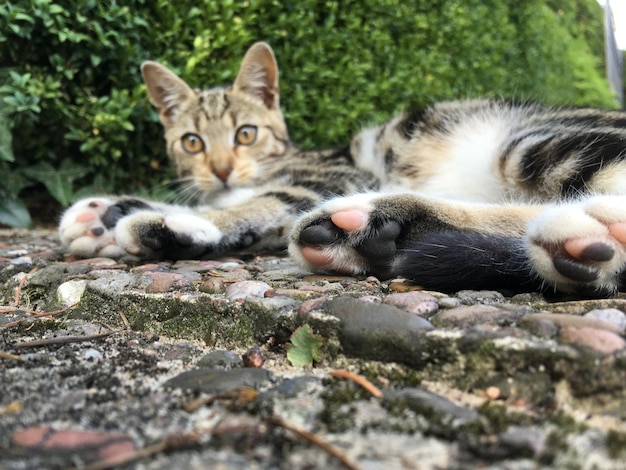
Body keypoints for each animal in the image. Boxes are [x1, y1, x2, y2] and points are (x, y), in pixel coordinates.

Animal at [59, 41, 626, 298]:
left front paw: (175, 222)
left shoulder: (329, 175)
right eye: (192, 143)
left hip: (532, 141)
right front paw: (102, 215)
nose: (221, 170)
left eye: (246, 134)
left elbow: (261, 203)